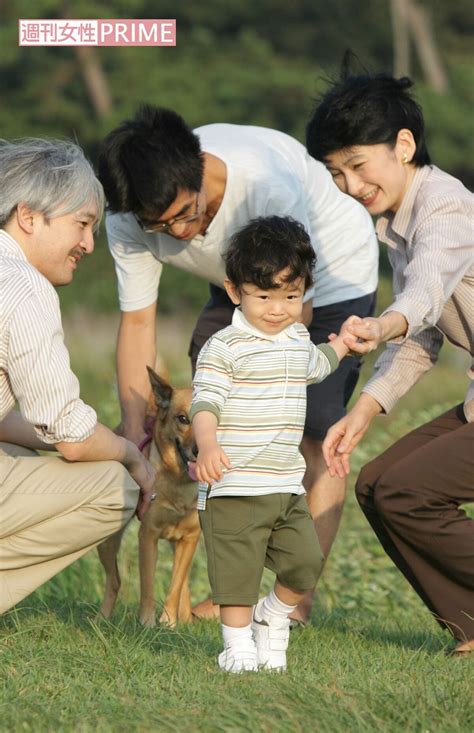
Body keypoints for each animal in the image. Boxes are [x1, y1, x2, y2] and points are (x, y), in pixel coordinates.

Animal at [96, 368, 200, 628]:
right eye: (182, 419)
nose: (199, 450)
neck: (178, 482)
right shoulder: (148, 535)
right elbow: (148, 586)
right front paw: (148, 623)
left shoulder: (190, 537)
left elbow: (175, 587)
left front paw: (170, 622)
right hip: (107, 541)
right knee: (115, 581)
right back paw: (101, 619)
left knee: (182, 584)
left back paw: (186, 620)